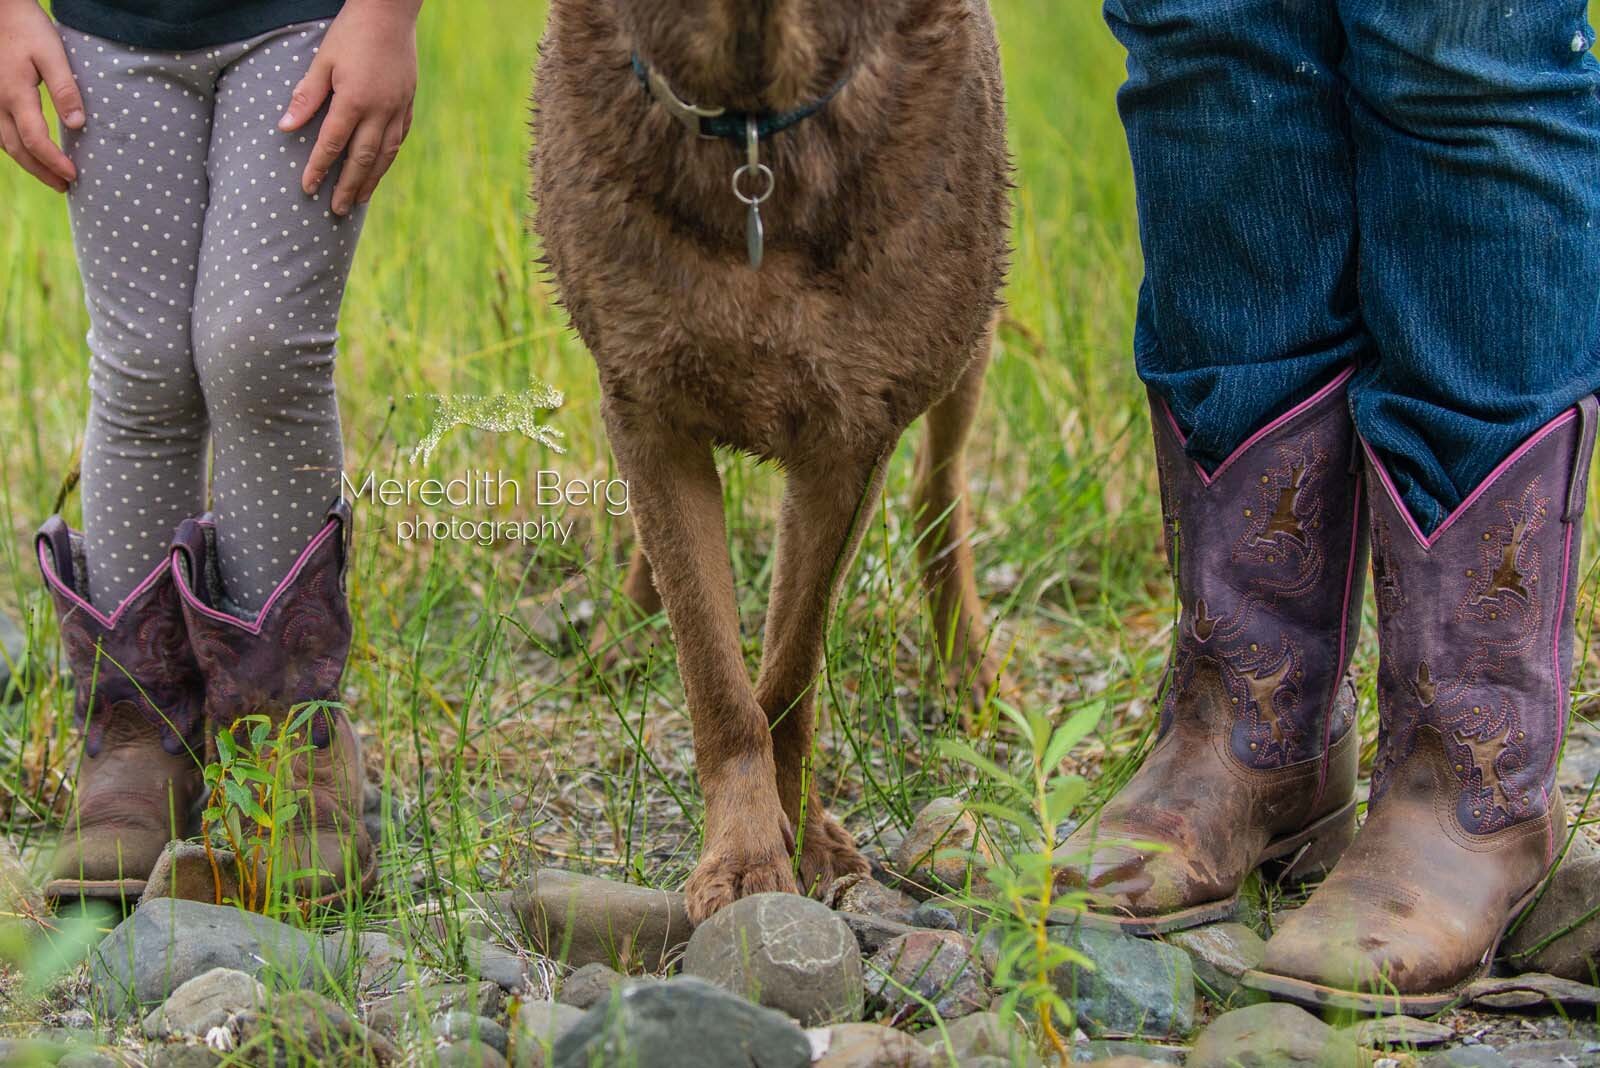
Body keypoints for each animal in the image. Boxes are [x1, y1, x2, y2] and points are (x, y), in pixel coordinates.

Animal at [537, 0, 1011, 920]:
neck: (753, 115)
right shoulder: (646, 409)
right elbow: (715, 669)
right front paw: (749, 853)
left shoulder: (852, 437)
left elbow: (790, 666)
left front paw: (808, 837)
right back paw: (622, 636)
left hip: (968, 340)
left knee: (940, 488)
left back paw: (966, 663)